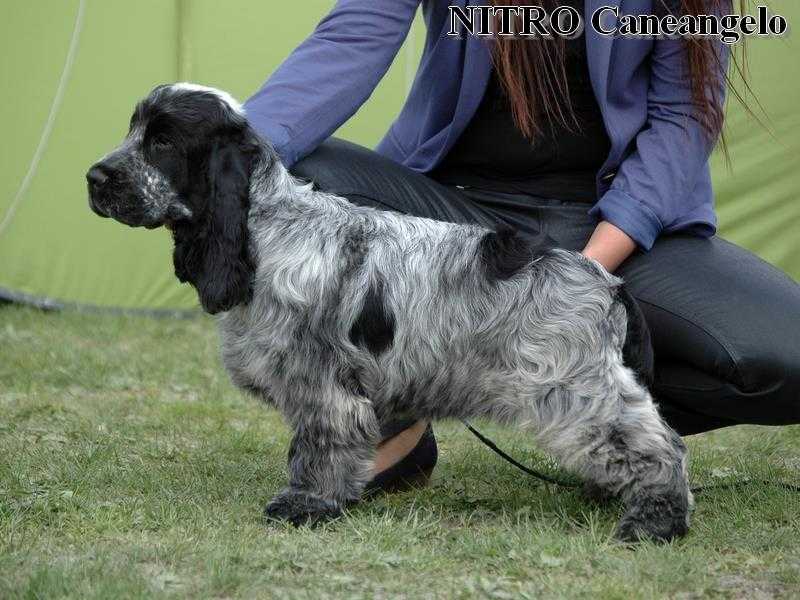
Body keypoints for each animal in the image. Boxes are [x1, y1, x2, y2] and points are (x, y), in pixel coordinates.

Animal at [84, 84, 692, 544]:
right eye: (134, 131)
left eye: (162, 141)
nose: (94, 178)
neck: (270, 228)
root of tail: (610, 286)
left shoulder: (322, 382)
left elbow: (319, 445)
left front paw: (305, 505)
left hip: (574, 388)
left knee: (659, 446)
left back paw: (654, 524)